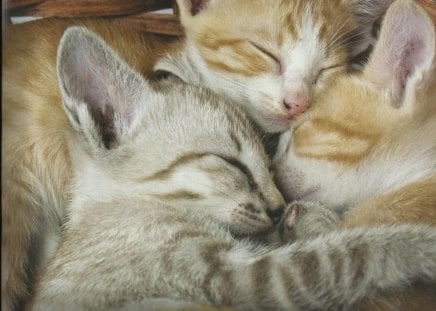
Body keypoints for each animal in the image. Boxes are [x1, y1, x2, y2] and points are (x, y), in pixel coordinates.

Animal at [26, 26, 436, 311]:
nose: (278, 207)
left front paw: (307, 218)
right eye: (233, 163)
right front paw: (422, 244)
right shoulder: (245, 276)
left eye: (268, 164)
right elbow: (351, 253)